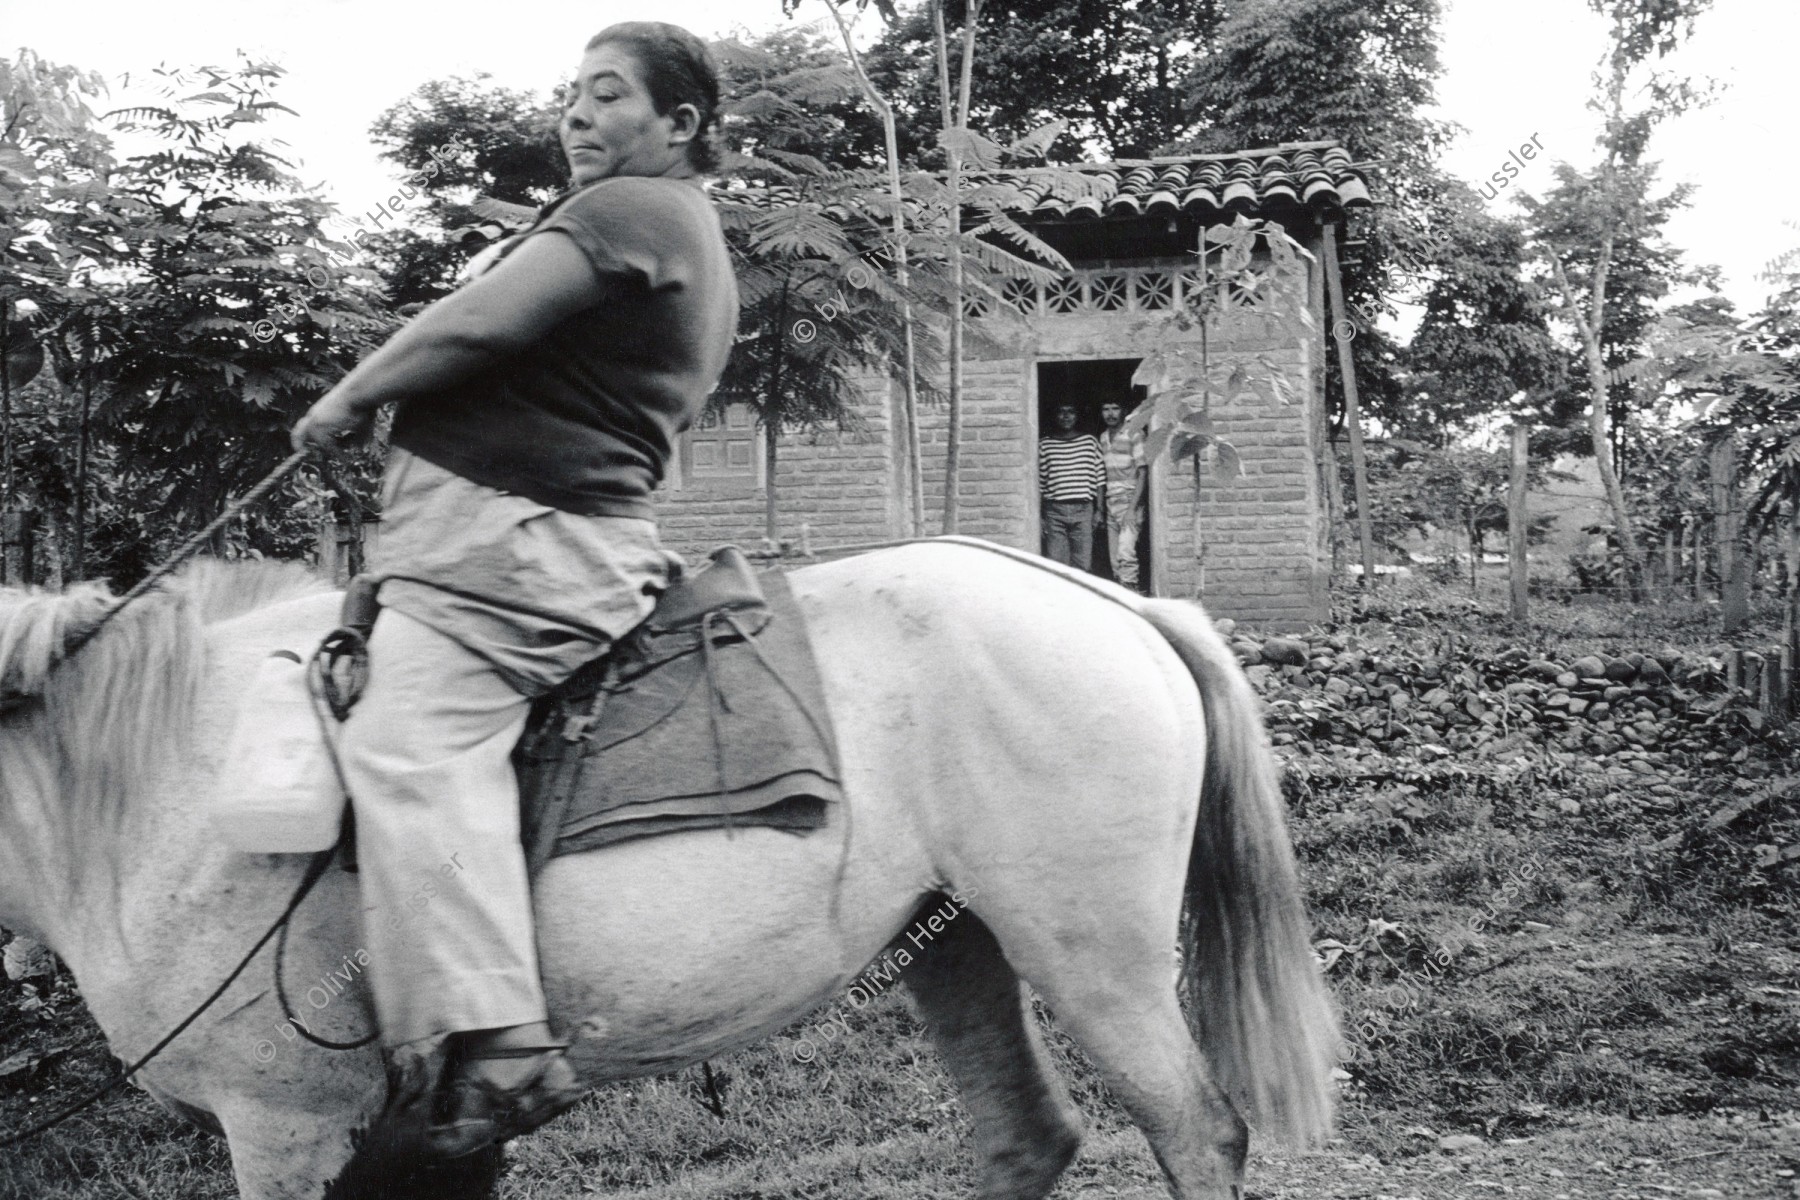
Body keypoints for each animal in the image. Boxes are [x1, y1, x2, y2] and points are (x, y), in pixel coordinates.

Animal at [0, 543, 1339, 1200]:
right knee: (1027, 1140)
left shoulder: (284, 1129)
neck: (154, 772)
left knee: (1198, 1131)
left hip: (1089, 952)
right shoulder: (423, 1144)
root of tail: (1118, 600)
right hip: (957, 941)